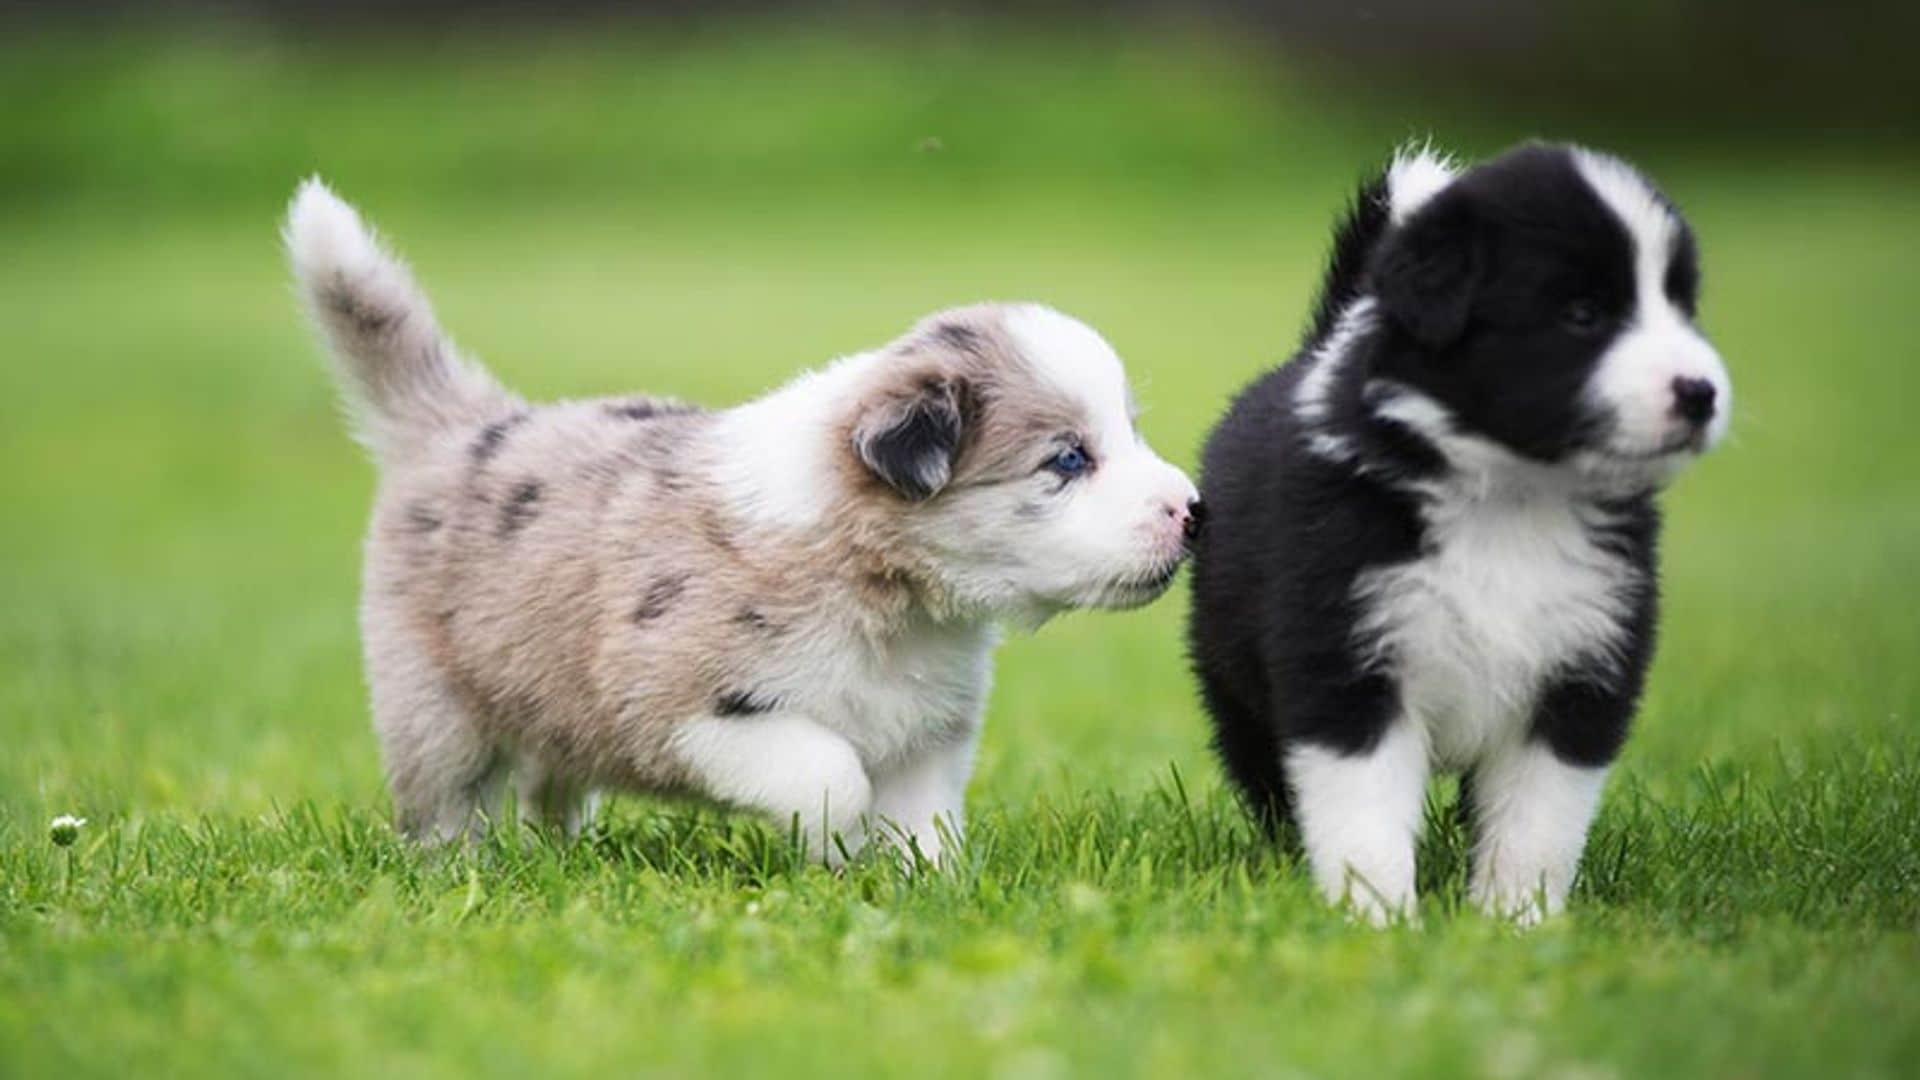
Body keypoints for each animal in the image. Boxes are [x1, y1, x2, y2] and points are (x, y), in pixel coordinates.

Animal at [284, 180, 1198, 860]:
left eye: (1130, 431)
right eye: (1068, 460)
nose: (1195, 512)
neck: (890, 598)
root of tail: (465, 422)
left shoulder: (929, 730)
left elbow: (924, 823)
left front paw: (924, 889)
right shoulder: (684, 703)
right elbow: (831, 775)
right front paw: (839, 850)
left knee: (551, 784)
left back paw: (557, 858)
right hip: (432, 704)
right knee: (447, 807)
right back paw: (459, 872)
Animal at [1190, 141, 1735, 914]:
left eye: (1681, 307)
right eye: (1582, 313)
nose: (1701, 393)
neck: (1511, 499)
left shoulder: (1584, 664)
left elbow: (1539, 820)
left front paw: (1515, 918)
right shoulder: (1346, 658)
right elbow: (1363, 815)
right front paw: (1377, 917)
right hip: (1235, 681)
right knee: (1267, 777)